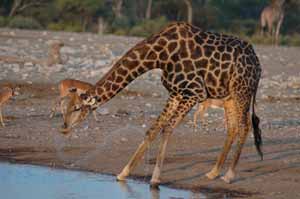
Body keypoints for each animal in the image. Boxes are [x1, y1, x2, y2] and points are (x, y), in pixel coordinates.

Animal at [63, 22, 262, 187]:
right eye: (65, 108)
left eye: (76, 108)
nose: (63, 129)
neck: (160, 56)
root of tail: (258, 64)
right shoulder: (175, 93)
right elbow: (153, 129)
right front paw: (123, 173)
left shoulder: (195, 92)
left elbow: (167, 128)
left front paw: (155, 179)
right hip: (229, 97)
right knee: (233, 128)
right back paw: (213, 173)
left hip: (242, 91)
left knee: (245, 126)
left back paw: (229, 175)